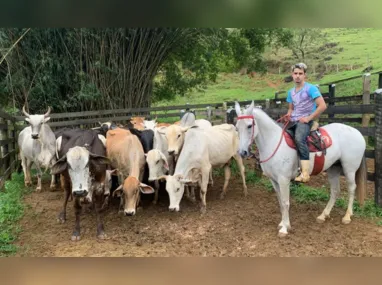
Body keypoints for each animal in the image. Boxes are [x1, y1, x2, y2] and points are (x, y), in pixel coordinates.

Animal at [236, 101, 368, 236]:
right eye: (236, 127)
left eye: (249, 126)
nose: (242, 152)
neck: (273, 143)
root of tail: (357, 132)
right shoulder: (274, 180)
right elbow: (280, 201)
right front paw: (283, 223)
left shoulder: (284, 180)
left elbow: (285, 202)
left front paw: (284, 228)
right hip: (333, 169)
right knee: (335, 191)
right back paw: (323, 215)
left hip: (349, 169)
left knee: (351, 188)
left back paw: (347, 216)